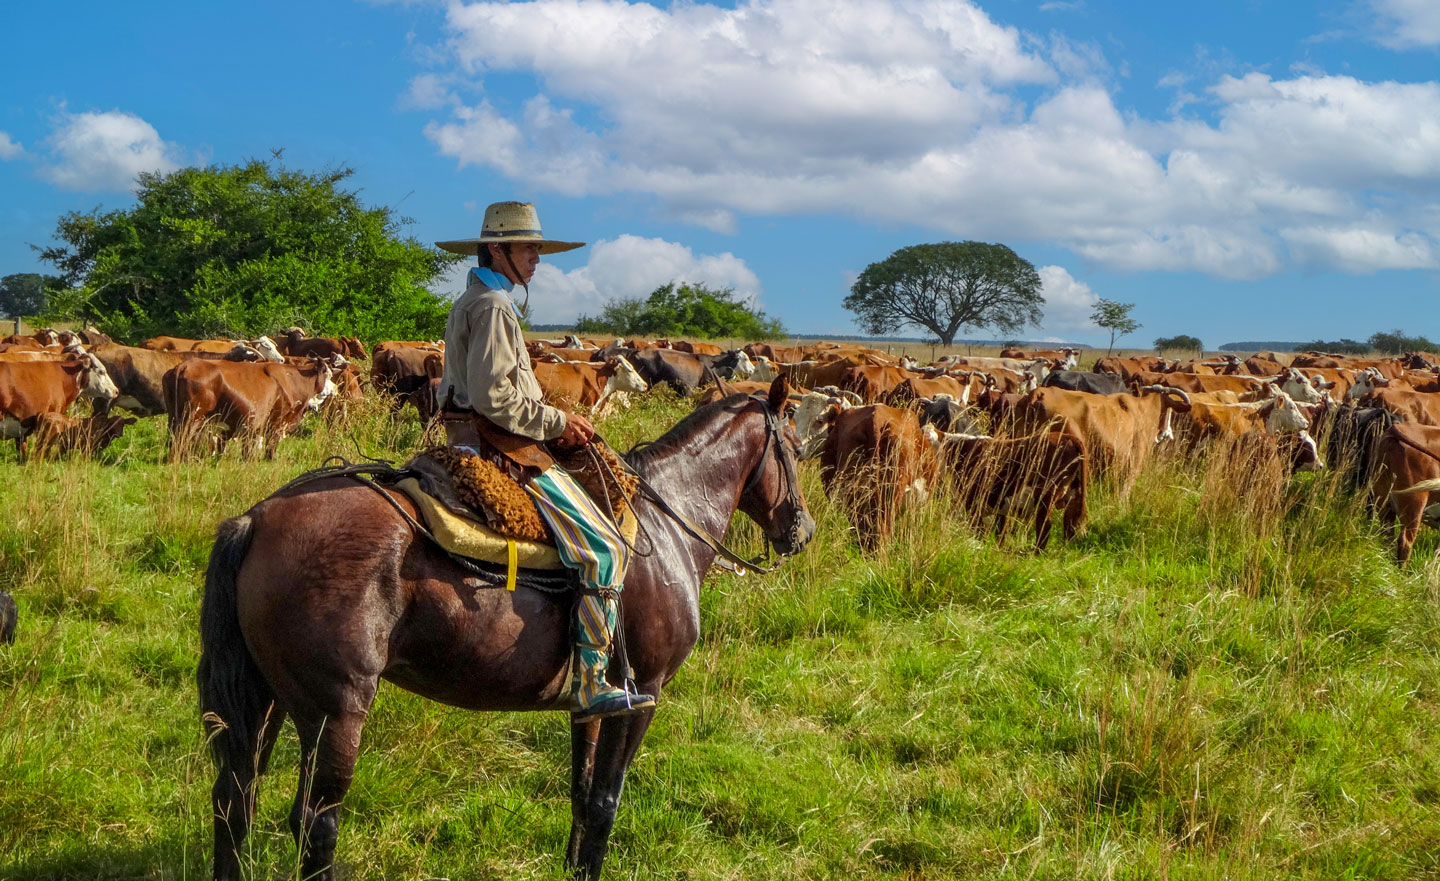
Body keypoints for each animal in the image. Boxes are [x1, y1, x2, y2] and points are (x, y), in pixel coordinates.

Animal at [197, 377, 817, 881]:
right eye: (794, 448)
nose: (802, 530)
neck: (665, 529)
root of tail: (256, 519)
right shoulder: (643, 694)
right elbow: (605, 803)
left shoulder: (593, 703)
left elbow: (581, 794)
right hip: (336, 713)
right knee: (315, 825)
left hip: (269, 700)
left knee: (235, 802)